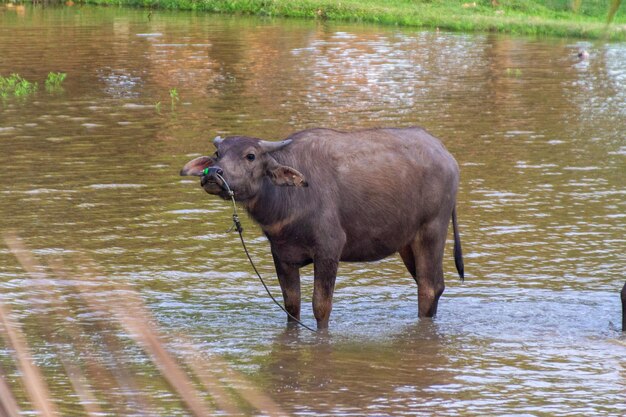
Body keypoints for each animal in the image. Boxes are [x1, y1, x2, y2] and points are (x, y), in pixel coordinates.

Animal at [180, 127, 464, 328]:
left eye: (250, 155)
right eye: (218, 154)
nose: (213, 174)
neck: (289, 200)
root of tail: (447, 156)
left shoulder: (329, 250)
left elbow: (321, 306)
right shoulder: (281, 255)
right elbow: (292, 305)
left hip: (432, 231)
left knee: (428, 288)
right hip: (406, 243)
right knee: (433, 286)